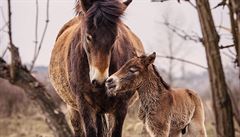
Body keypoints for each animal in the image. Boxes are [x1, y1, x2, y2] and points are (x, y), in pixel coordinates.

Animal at [47, 0, 143, 137]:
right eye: (88, 36)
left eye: (115, 37)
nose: (101, 80)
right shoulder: (84, 105)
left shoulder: (120, 107)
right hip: (74, 109)